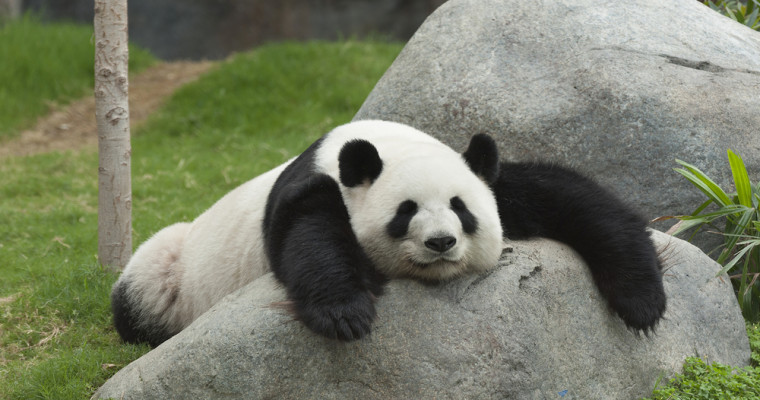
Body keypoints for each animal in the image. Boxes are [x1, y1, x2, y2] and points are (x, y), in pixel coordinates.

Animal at [111, 120, 666, 347]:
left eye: (461, 210)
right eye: (406, 212)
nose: (440, 242)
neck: (385, 143)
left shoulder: (487, 176)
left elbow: (577, 200)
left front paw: (642, 302)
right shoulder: (314, 187)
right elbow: (309, 236)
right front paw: (346, 314)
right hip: (172, 269)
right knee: (142, 291)